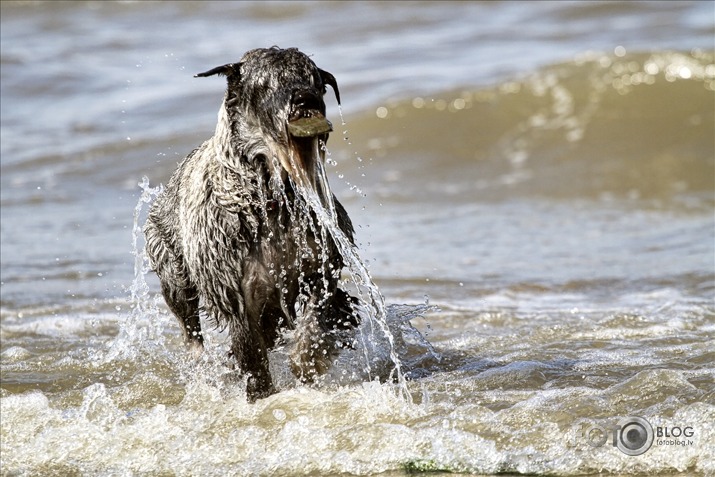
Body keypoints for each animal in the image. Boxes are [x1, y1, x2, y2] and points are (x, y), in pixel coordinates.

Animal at [144, 46, 358, 400]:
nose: (305, 99)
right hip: (173, 273)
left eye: (316, 80)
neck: (271, 201)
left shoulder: (320, 273)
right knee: (190, 328)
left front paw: (308, 362)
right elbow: (251, 356)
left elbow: (317, 321)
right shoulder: (238, 299)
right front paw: (261, 394)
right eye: (265, 84)